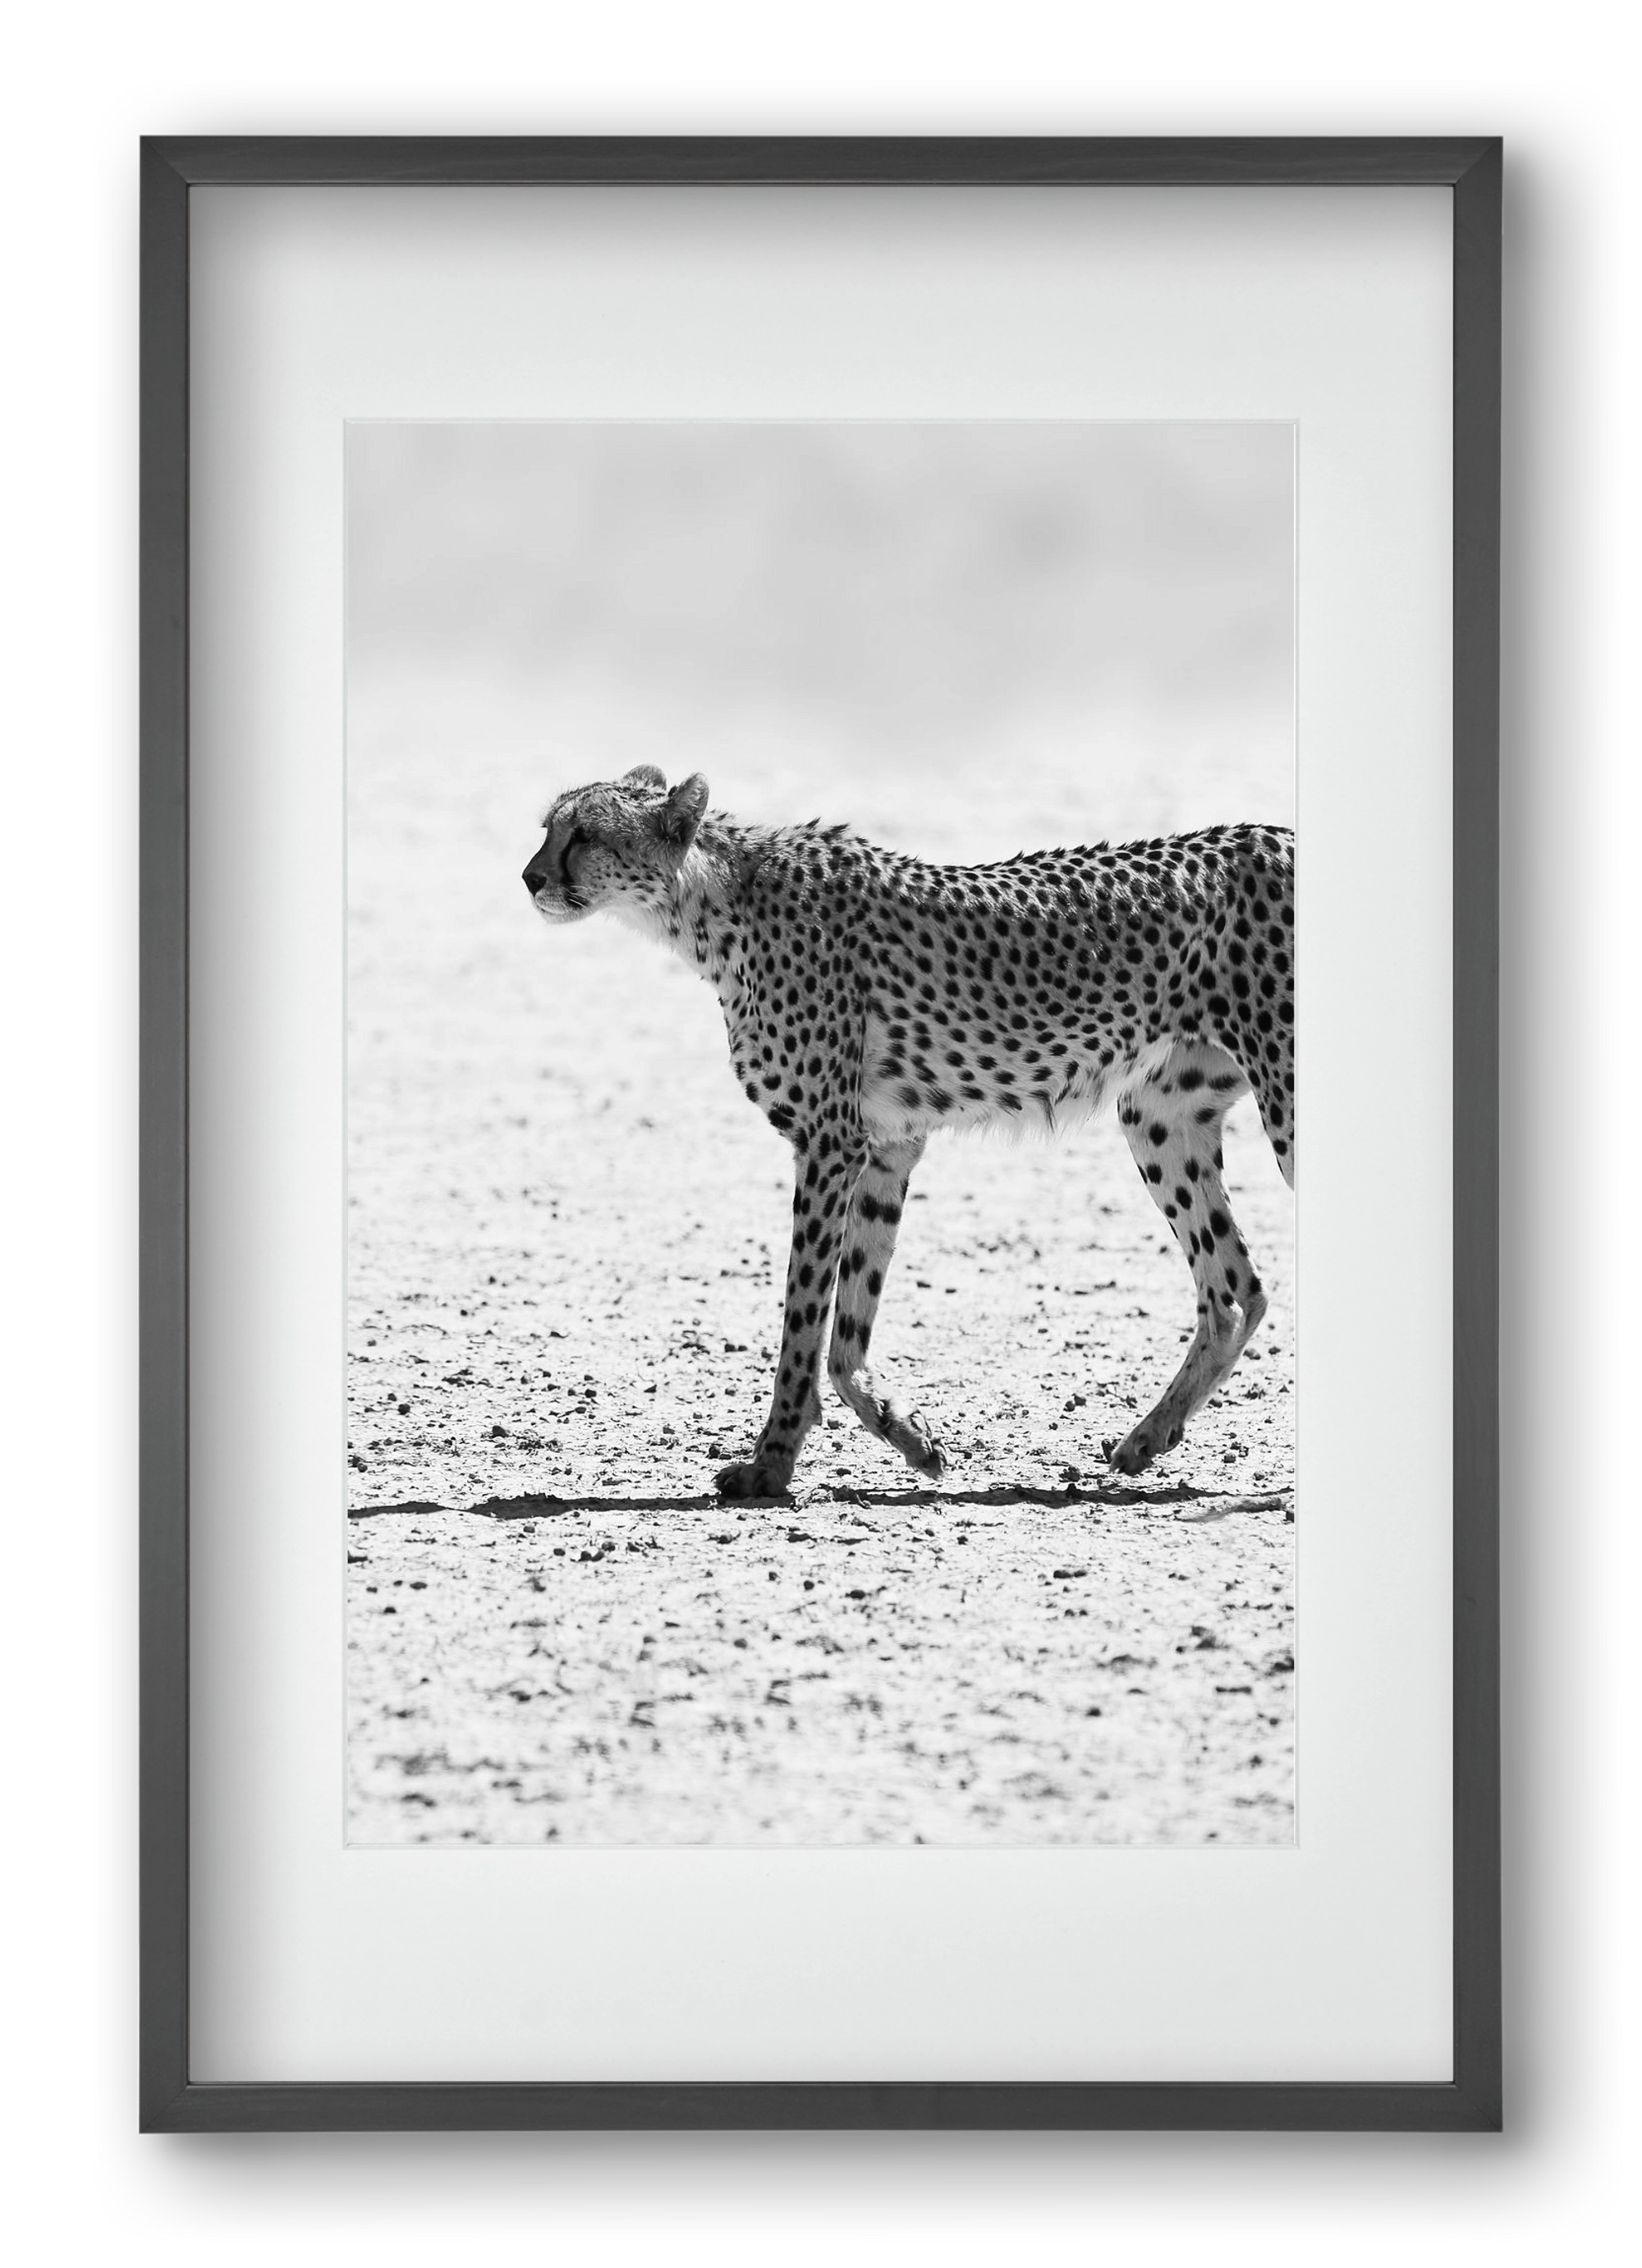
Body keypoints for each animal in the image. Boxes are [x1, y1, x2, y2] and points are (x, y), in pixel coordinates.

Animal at [524, 765, 1294, 1501]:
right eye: (548, 828)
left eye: (585, 834)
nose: (530, 877)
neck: (711, 903)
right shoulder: (886, 1146)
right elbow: (846, 1330)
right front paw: (910, 1436)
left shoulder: (829, 1142)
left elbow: (803, 1318)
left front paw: (770, 1464)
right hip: (1159, 1115)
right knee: (1234, 1289)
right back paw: (1147, 1438)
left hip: (1281, 1100)